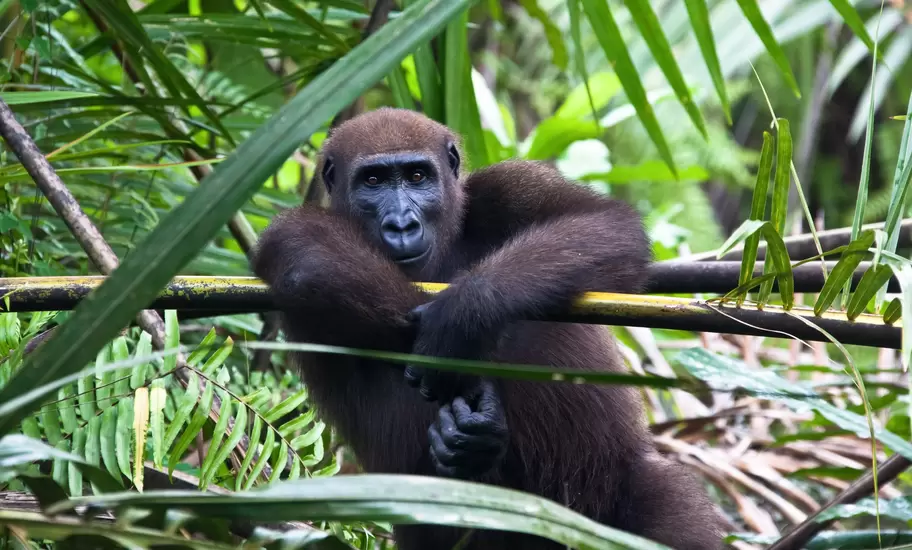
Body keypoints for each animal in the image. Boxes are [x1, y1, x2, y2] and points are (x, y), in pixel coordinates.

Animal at [251, 108, 726, 549]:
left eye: (418, 176)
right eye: (372, 182)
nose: (402, 225)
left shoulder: (506, 185)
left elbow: (606, 224)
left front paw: (464, 315)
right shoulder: (289, 231)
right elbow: (309, 261)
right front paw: (471, 426)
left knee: (660, 502)